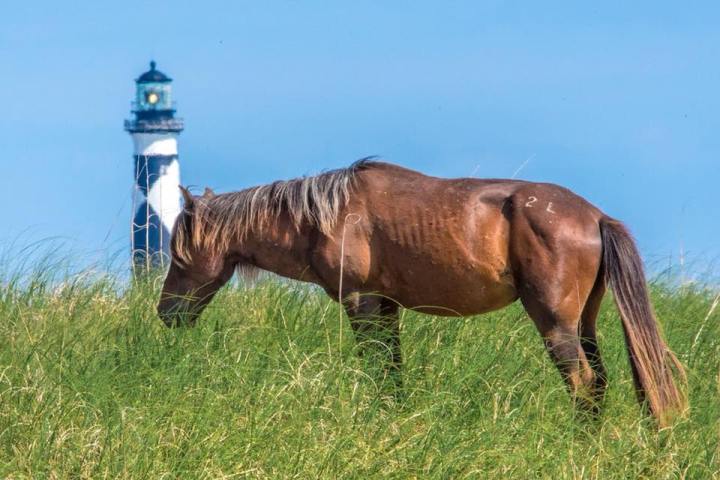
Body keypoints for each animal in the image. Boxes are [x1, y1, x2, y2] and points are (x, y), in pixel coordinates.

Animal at [157, 159, 686, 426]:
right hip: (584, 323)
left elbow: (376, 370)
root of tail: (594, 216)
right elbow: (393, 375)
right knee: (599, 383)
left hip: (555, 324)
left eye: (178, 251)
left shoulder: (363, 304)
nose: (166, 313)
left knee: (584, 385)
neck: (322, 216)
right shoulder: (387, 308)